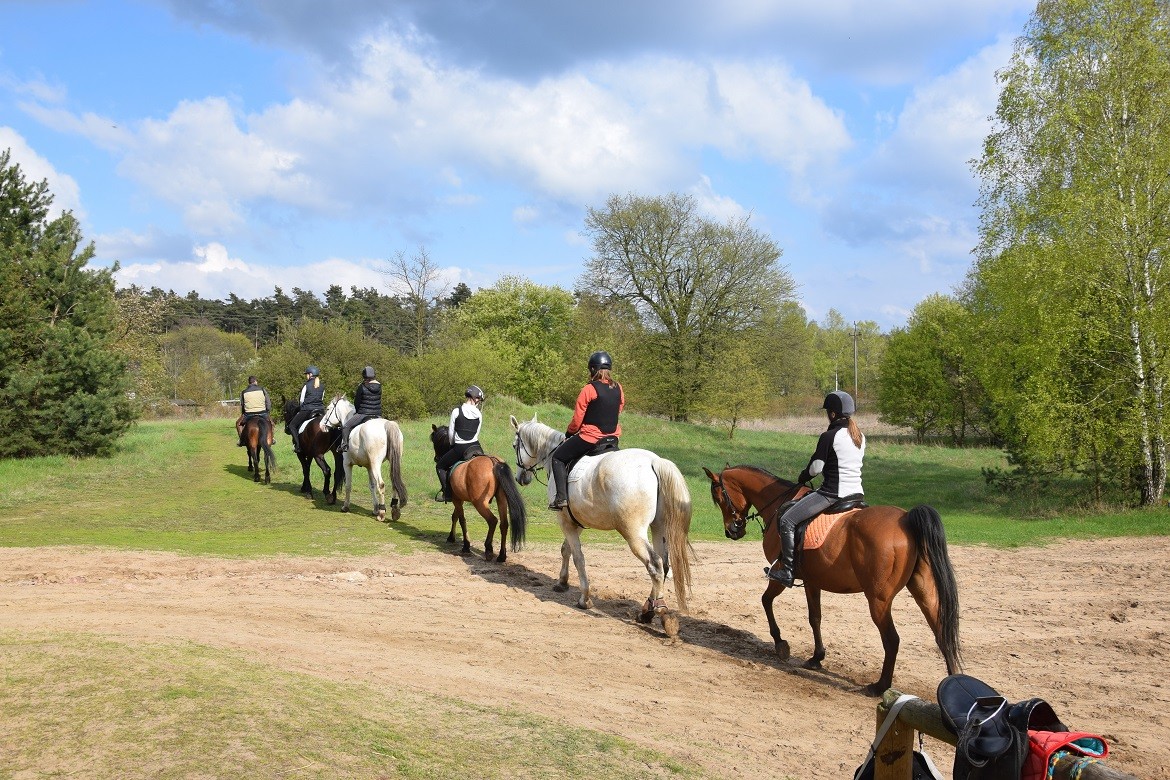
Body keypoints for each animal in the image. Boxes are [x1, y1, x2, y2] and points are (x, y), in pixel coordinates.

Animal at [430, 424, 527, 562]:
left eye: (435, 441)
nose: (436, 458)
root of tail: (494, 462)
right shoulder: (459, 498)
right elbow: (455, 516)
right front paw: (451, 537)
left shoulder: (456, 499)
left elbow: (462, 520)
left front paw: (466, 545)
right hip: (501, 499)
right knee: (504, 524)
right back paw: (501, 555)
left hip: (480, 503)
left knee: (492, 521)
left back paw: (489, 549)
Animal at [510, 413, 693, 628]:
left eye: (514, 445)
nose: (521, 478)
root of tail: (654, 462)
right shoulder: (576, 521)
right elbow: (566, 550)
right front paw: (562, 582)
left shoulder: (565, 521)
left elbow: (578, 557)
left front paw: (584, 598)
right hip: (659, 528)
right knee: (664, 565)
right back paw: (651, 609)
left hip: (633, 532)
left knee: (654, 565)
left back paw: (653, 612)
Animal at [702, 464, 962, 695]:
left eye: (720, 497)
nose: (732, 531)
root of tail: (906, 519)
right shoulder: (813, 581)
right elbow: (815, 618)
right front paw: (817, 658)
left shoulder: (780, 575)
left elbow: (766, 601)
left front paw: (780, 643)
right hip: (923, 590)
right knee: (942, 633)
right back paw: (954, 684)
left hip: (878, 599)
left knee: (892, 640)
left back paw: (879, 687)